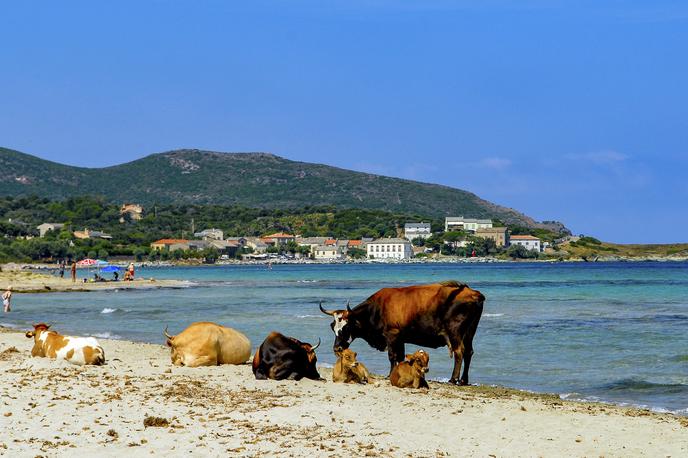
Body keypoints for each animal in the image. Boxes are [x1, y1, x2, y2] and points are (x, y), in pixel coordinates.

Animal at [322, 280, 484, 384]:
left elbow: (392, 356)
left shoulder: (392, 335)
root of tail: (471, 292)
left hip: (455, 332)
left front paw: (389, 375)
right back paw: (464, 380)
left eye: (346, 326)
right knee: (468, 352)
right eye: (332, 326)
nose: (337, 348)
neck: (377, 308)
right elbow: (400, 357)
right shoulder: (400, 339)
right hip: (470, 332)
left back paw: (453, 379)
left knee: (459, 353)